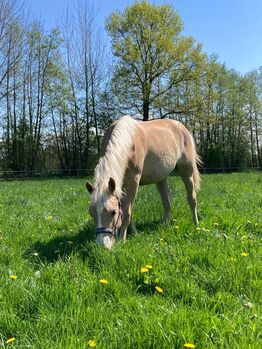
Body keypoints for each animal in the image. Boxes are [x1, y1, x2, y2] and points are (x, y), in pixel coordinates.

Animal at [86, 115, 201, 249]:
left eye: (113, 212)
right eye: (91, 213)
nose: (102, 246)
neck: (129, 143)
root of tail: (183, 128)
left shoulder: (133, 181)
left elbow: (127, 211)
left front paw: (122, 238)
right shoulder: (121, 186)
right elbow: (127, 208)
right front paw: (134, 232)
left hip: (186, 170)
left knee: (191, 198)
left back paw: (196, 223)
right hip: (161, 178)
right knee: (167, 200)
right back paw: (165, 224)